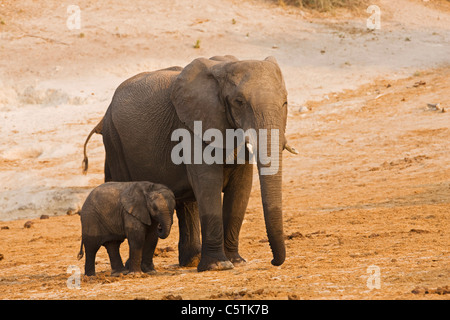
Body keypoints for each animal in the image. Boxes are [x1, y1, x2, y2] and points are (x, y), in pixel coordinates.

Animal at [82, 56, 298, 272]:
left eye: (285, 102)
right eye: (239, 102)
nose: (274, 261)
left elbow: (240, 188)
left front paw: (236, 261)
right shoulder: (192, 127)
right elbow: (208, 183)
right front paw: (219, 266)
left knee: (187, 202)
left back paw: (191, 261)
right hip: (114, 141)